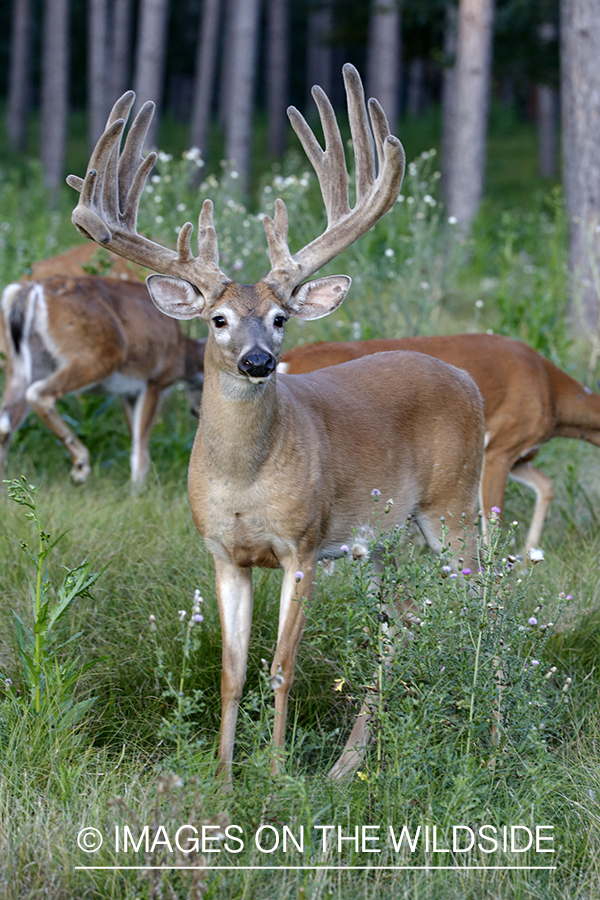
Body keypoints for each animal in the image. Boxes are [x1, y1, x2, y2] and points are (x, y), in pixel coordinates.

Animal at [0, 274, 206, 486]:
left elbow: (135, 437)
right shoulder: (155, 381)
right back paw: (80, 465)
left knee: (6, 421)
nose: (196, 412)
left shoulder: (128, 393)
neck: (182, 354)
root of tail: (31, 288)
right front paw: (138, 489)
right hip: (97, 355)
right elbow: (140, 446)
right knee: (38, 394)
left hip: (24, 364)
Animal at [67, 67, 488, 784]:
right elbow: (232, 673)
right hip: (383, 539)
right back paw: (348, 767)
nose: (259, 361)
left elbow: (281, 668)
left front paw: (274, 773)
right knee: (402, 621)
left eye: (281, 317)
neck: (244, 479)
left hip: (454, 504)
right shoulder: (223, 553)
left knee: (486, 602)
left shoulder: (303, 544)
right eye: (218, 319)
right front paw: (223, 776)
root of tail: (467, 379)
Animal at [278, 334, 600, 552]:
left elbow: (547, 486)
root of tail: (286, 362)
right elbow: (492, 524)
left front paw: (525, 556)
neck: (553, 395)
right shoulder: (500, 449)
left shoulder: (521, 457)